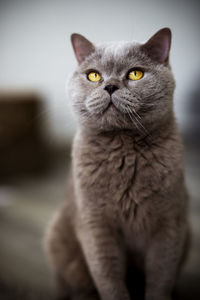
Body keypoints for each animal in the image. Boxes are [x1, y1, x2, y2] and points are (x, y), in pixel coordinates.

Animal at [45, 28, 191, 300]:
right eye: (94, 75)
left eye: (135, 73)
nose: (110, 86)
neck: (124, 150)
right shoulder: (95, 225)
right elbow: (108, 277)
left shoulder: (170, 225)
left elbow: (161, 276)